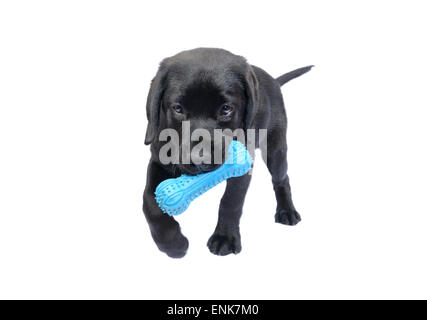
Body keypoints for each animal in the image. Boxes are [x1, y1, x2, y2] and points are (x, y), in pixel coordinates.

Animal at [142, 48, 312, 258]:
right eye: (178, 108)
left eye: (226, 109)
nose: (200, 159)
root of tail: (273, 80)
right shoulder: (157, 161)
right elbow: (149, 202)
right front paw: (172, 243)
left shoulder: (244, 167)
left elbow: (231, 201)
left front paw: (225, 237)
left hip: (276, 149)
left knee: (281, 178)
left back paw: (286, 211)